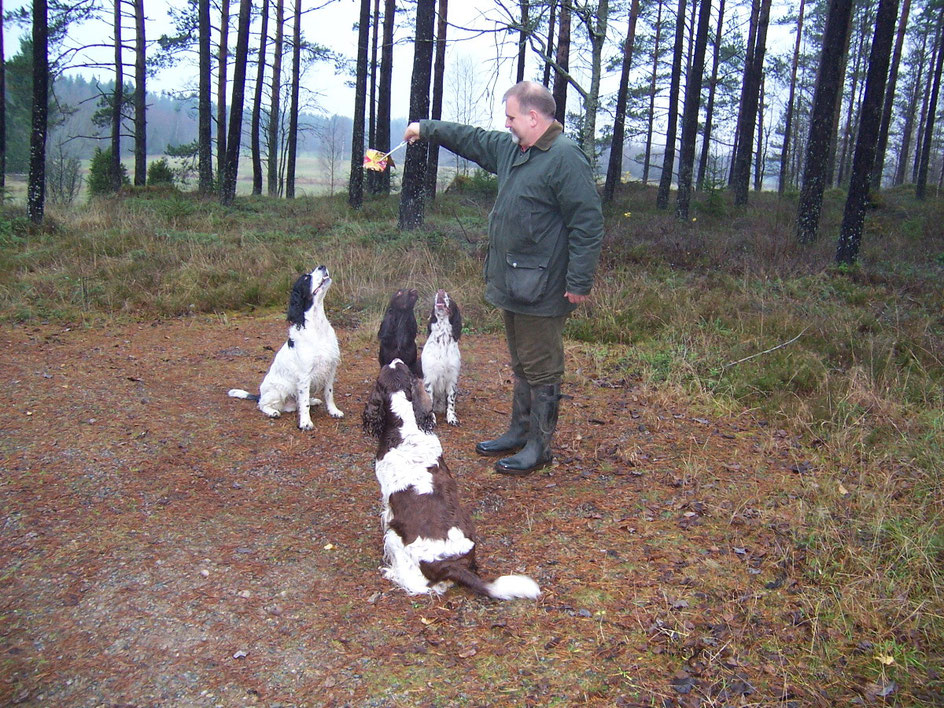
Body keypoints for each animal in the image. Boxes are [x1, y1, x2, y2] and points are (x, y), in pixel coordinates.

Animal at [228, 266, 342, 428]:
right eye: (306, 278)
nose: (322, 266)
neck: (317, 327)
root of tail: (260, 394)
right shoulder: (305, 375)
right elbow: (304, 403)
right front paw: (305, 422)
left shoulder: (330, 369)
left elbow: (329, 393)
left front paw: (334, 411)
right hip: (277, 391)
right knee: (262, 404)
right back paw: (272, 412)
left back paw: (313, 400)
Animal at [362, 360, 540, 596]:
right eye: (406, 370)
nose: (395, 360)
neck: (405, 424)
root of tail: (452, 564)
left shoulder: (387, 500)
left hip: (394, 537)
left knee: (419, 584)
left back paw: (391, 573)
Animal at [422, 290, 462, 426]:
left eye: (449, 296)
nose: (440, 291)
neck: (443, 339)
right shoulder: (429, 378)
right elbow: (429, 400)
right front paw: (431, 420)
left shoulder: (452, 378)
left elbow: (451, 401)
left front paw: (452, 418)